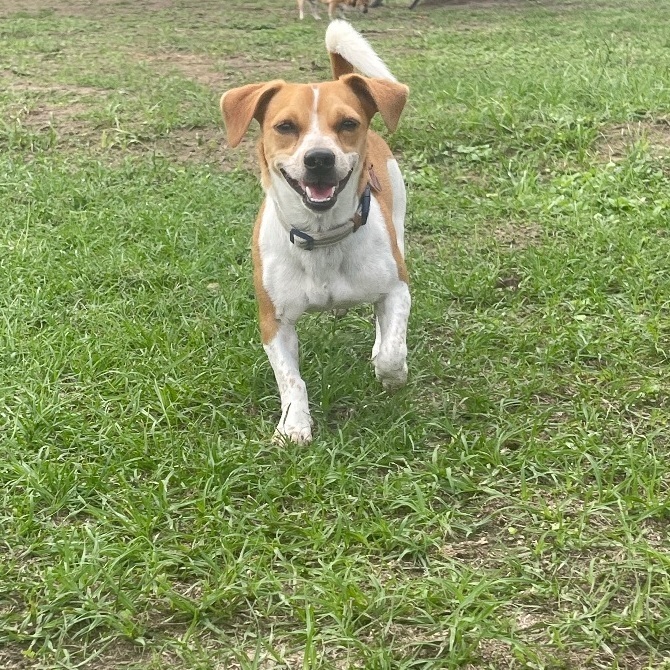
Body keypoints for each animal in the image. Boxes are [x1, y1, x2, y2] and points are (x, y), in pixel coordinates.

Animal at [220, 18, 410, 444]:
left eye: (348, 124)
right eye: (285, 126)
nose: (319, 158)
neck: (322, 237)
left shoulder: (397, 288)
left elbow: (392, 350)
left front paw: (392, 372)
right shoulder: (273, 320)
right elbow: (290, 379)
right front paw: (294, 424)